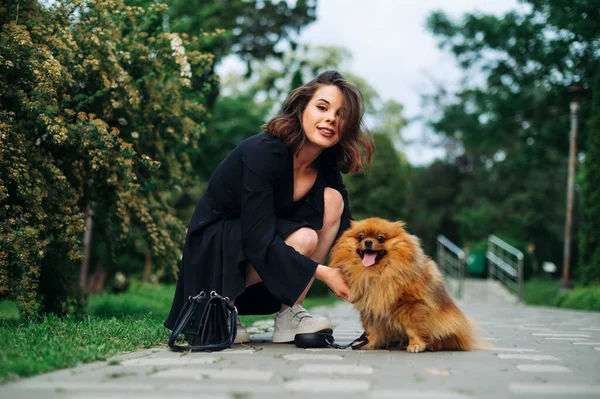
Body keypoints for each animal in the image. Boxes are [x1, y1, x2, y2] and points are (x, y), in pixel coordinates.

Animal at [328, 219, 482, 354]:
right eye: (361, 237)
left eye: (380, 238)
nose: (368, 241)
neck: (377, 273)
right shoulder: (369, 307)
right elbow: (371, 329)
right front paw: (369, 343)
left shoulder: (410, 305)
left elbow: (413, 328)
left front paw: (416, 345)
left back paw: (433, 345)